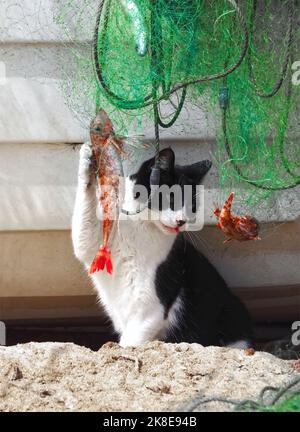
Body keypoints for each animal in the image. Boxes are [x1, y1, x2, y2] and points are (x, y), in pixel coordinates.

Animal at [72, 143, 253, 348]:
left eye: (191, 207)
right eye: (171, 198)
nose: (182, 221)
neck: (140, 225)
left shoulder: (151, 306)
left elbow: (131, 340)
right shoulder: (94, 245)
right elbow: (84, 231)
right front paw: (87, 158)